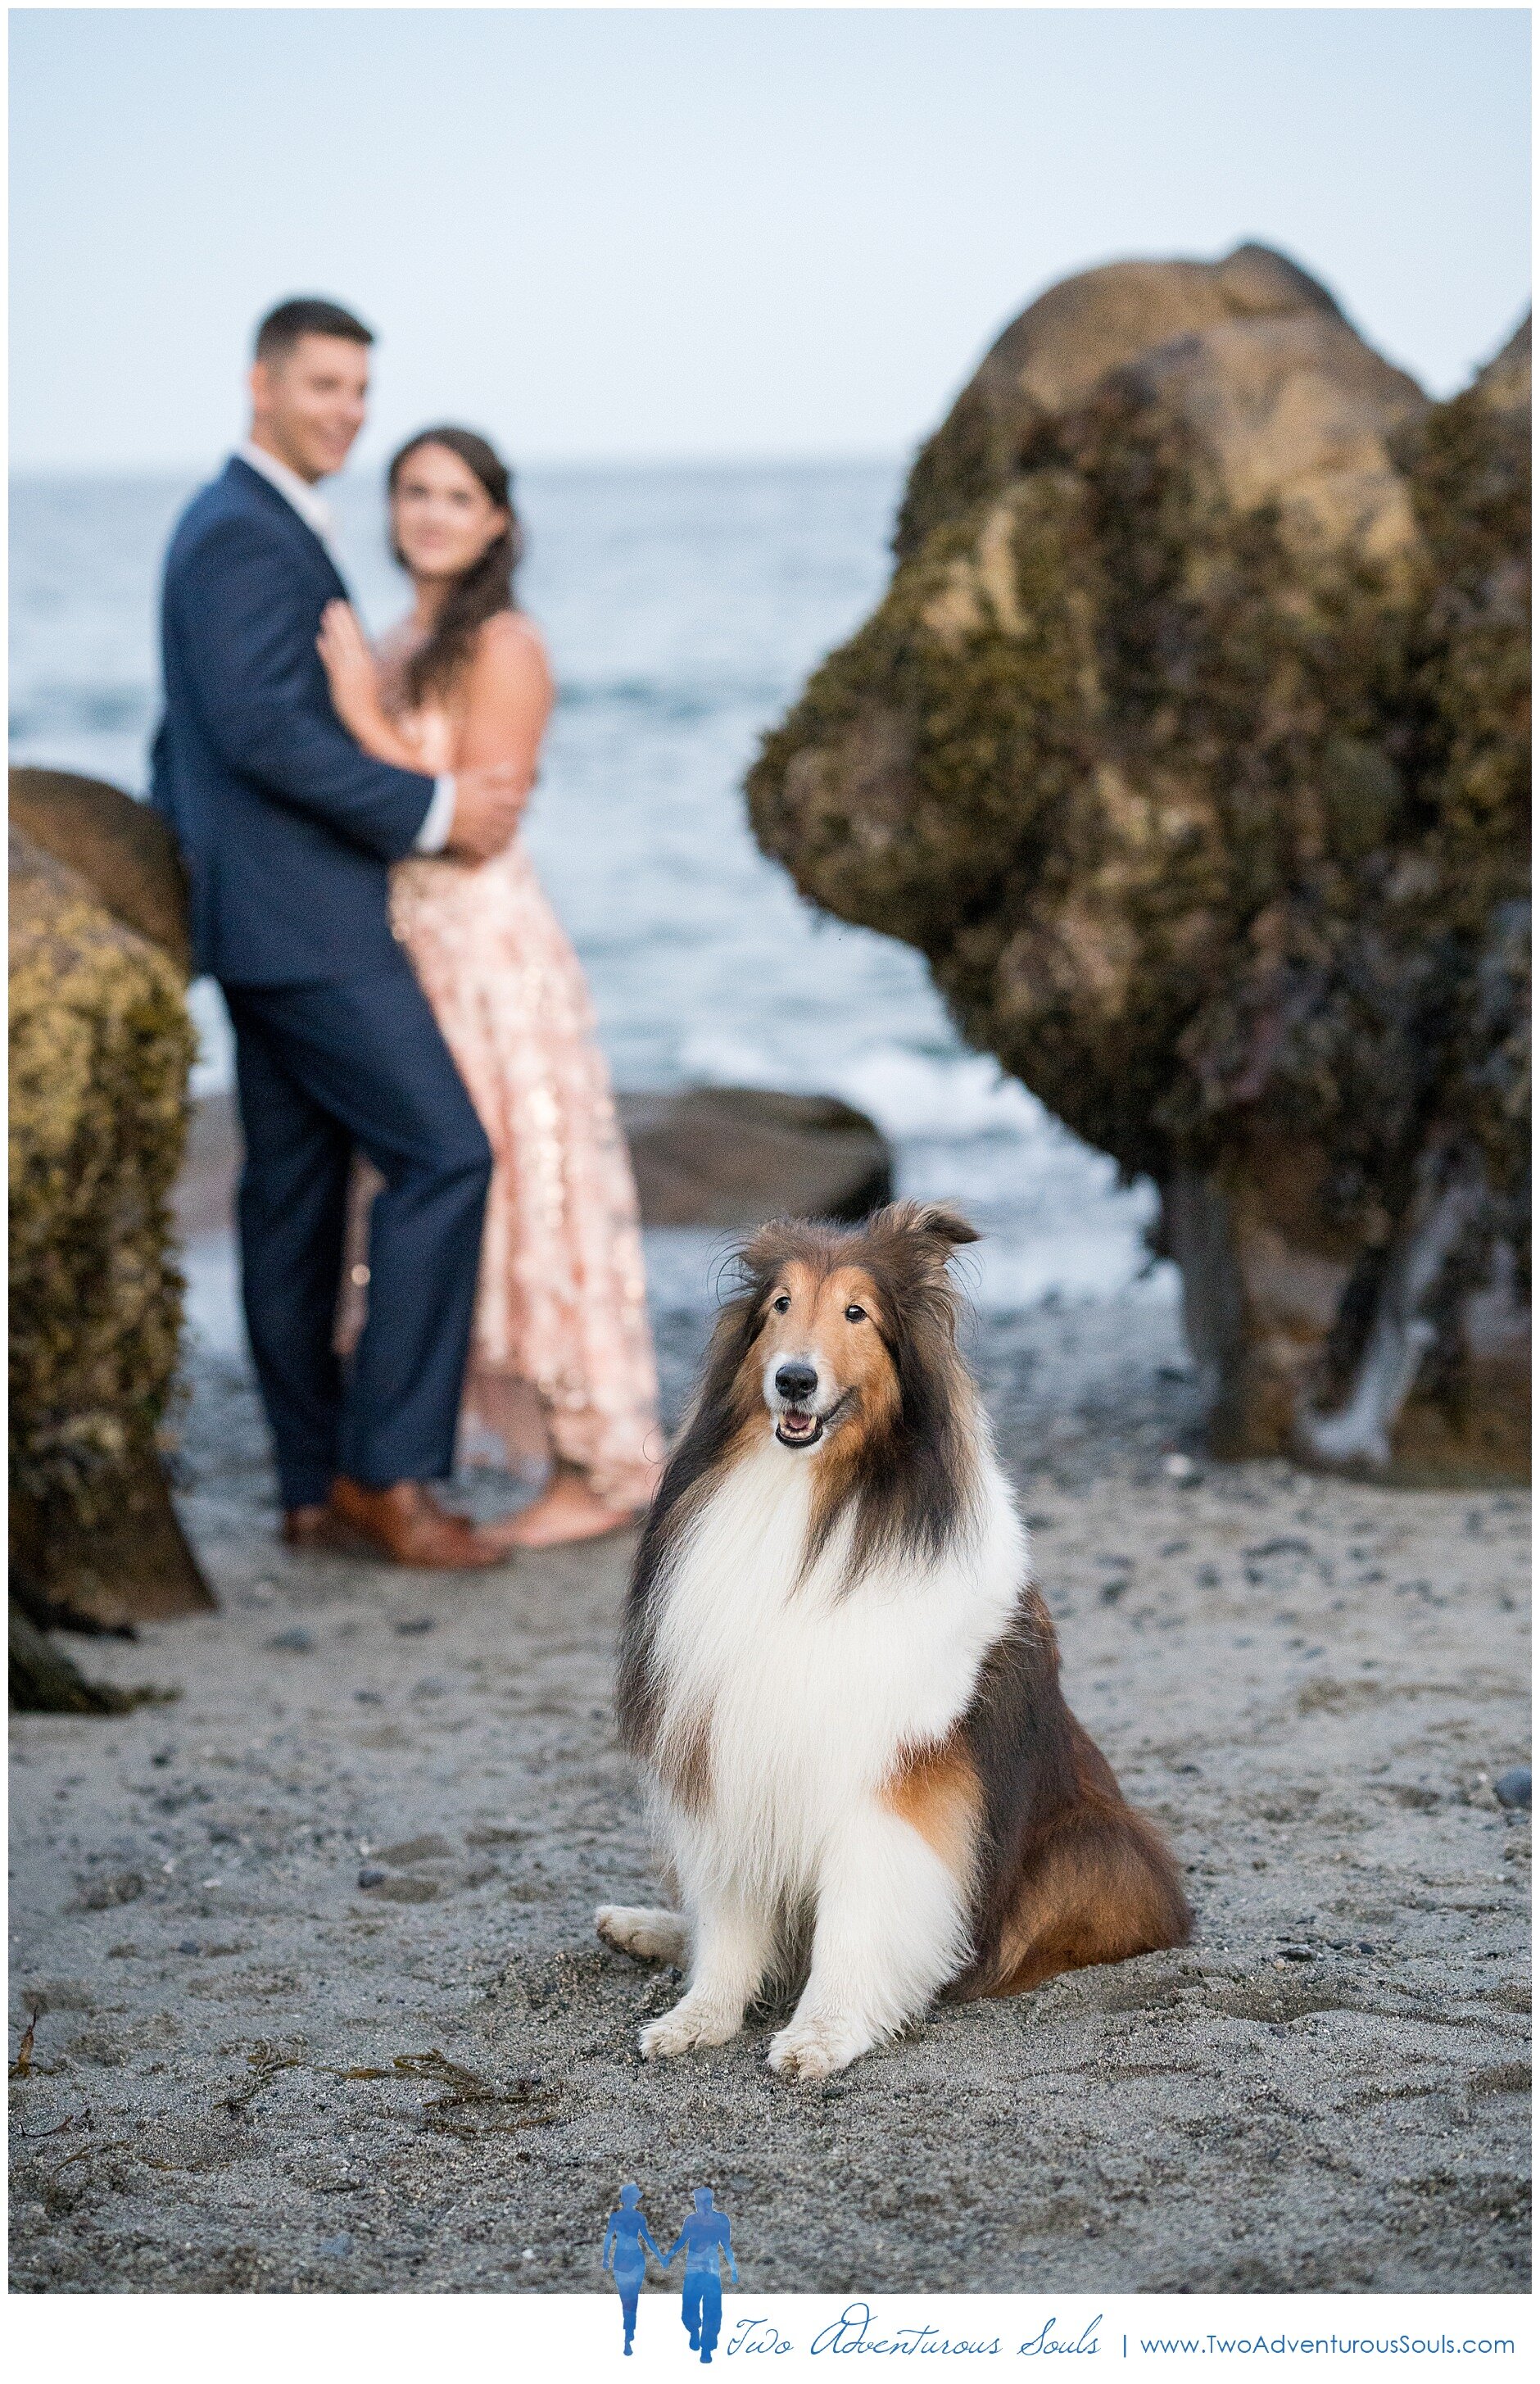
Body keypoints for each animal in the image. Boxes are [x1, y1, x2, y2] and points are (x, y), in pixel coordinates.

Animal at [593, 1201, 1196, 2078]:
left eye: (857, 1313)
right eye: (781, 1305)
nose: (795, 1380)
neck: (811, 1504)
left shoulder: (892, 1779)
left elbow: (856, 1920)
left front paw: (823, 2034)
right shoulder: (730, 1745)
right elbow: (734, 1919)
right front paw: (699, 2017)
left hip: (1088, 1847)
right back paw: (639, 1926)